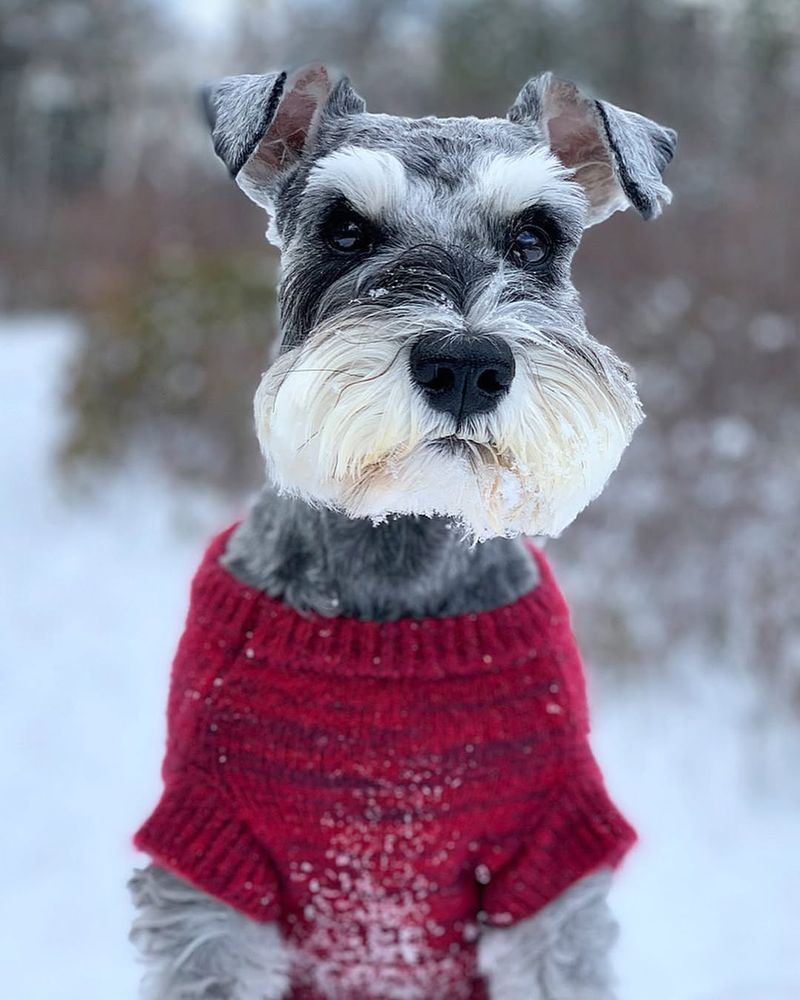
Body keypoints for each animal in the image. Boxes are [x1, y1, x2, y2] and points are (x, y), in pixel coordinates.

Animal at [130, 64, 676, 1000]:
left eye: (535, 237)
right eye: (345, 229)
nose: (464, 364)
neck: (399, 552)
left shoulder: (548, 868)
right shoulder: (210, 870)